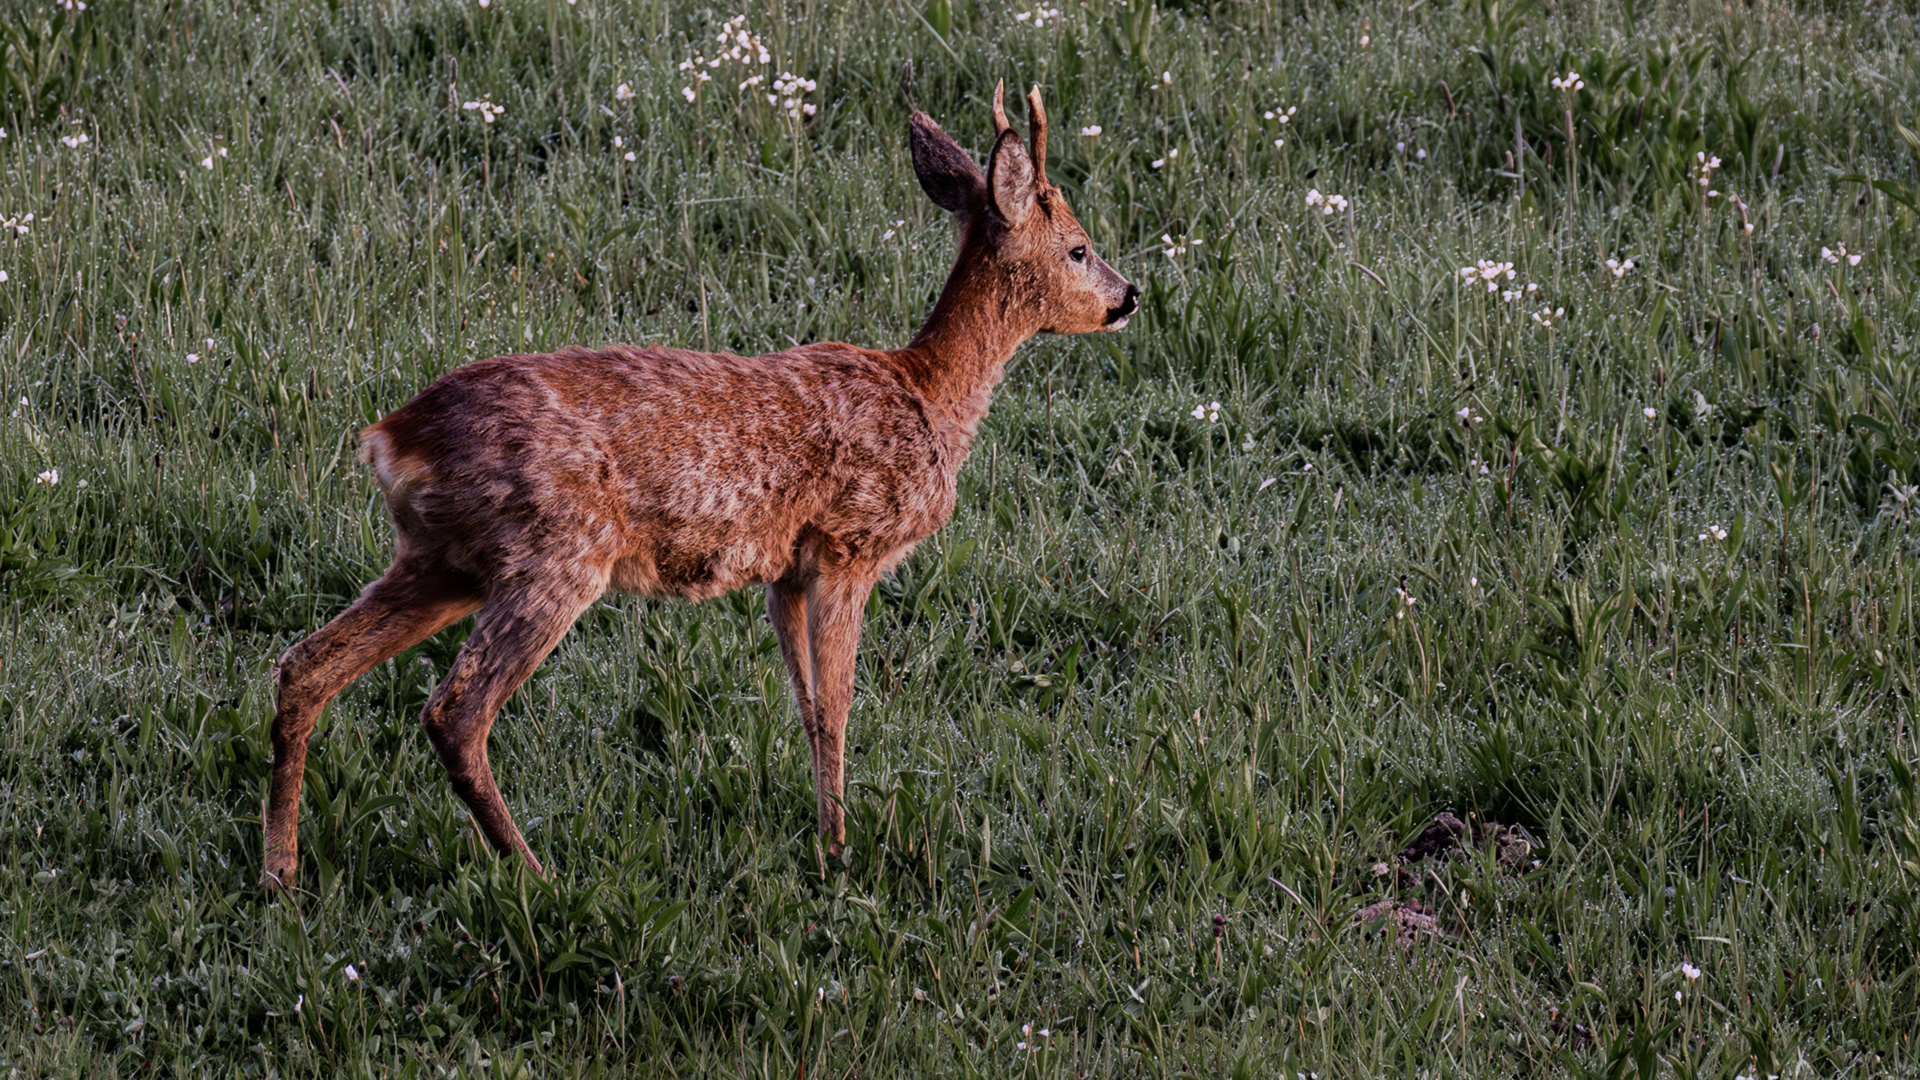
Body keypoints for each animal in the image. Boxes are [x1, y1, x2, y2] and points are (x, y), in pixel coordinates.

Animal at [268, 82, 1136, 891]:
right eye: (1079, 248)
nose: (1130, 297)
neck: (930, 396)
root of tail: (392, 439)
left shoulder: (785, 570)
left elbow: (807, 705)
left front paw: (824, 836)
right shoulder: (849, 547)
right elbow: (839, 707)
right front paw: (839, 849)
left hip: (440, 560)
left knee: (305, 664)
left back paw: (282, 871)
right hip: (552, 554)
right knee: (453, 713)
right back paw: (532, 871)